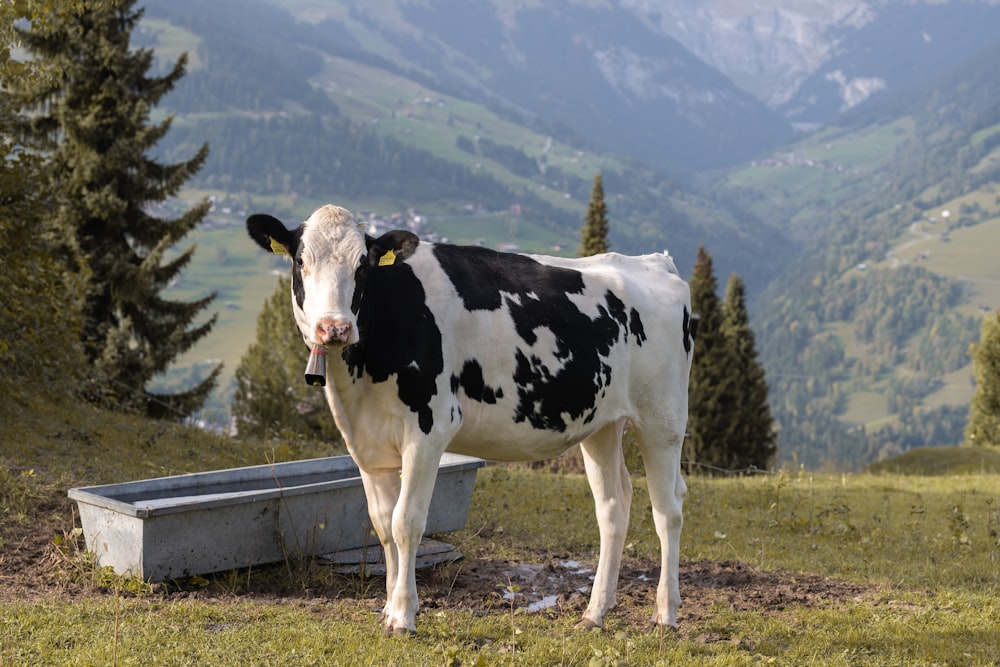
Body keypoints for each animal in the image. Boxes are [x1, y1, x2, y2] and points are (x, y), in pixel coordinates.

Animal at [246, 204, 692, 636]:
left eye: (363, 266)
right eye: (300, 260)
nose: (334, 327)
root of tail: (655, 263)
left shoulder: (429, 428)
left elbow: (406, 522)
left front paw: (403, 616)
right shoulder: (367, 443)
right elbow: (382, 525)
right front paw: (388, 607)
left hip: (663, 419)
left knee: (668, 510)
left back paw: (666, 614)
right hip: (601, 423)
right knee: (613, 507)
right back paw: (594, 613)